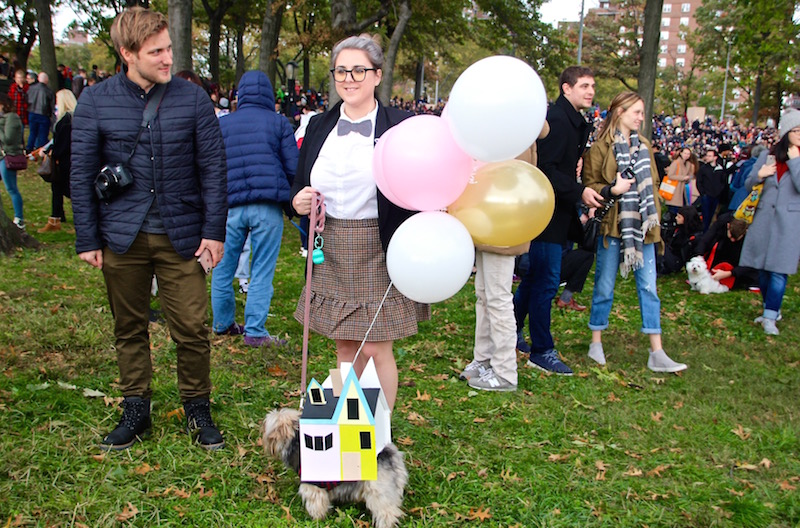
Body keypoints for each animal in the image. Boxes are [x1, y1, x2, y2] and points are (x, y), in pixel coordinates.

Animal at [262, 408, 410, 528]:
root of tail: (388, 453)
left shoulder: (313, 489)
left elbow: (317, 507)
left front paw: (316, 520)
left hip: (379, 494)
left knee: (388, 513)